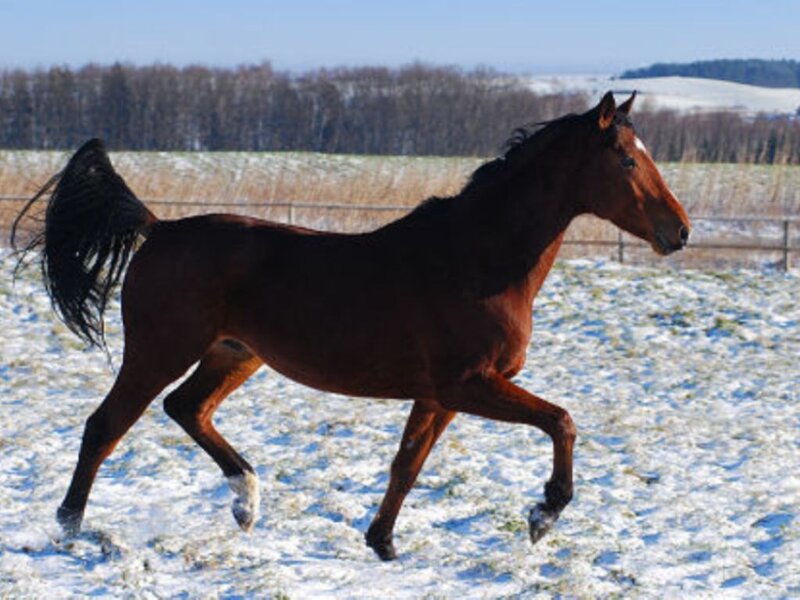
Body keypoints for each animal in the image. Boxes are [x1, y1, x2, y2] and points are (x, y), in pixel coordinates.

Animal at [12, 91, 689, 561]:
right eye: (626, 160)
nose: (679, 232)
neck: (477, 258)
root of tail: (159, 227)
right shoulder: (469, 384)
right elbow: (562, 421)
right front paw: (543, 515)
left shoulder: (439, 395)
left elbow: (406, 465)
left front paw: (382, 543)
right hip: (160, 350)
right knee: (105, 427)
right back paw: (69, 530)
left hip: (235, 353)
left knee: (186, 408)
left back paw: (246, 501)